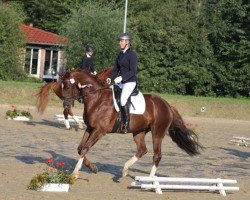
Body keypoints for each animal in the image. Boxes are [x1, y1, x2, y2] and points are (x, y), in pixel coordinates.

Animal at [58, 69, 203, 179]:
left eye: (68, 86)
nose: (66, 105)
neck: (97, 98)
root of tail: (167, 104)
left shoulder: (99, 131)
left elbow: (85, 148)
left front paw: (75, 173)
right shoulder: (90, 128)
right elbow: (80, 148)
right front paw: (93, 168)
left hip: (158, 132)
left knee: (157, 155)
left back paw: (150, 181)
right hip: (139, 131)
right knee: (142, 150)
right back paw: (125, 170)